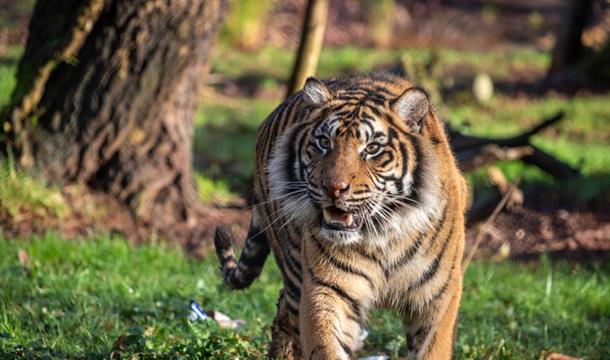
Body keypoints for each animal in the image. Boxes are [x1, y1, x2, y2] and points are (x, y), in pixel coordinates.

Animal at [213, 74, 466, 360]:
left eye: (372, 148)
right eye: (324, 143)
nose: (333, 188)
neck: (384, 236)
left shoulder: (438, 297)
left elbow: (433, 348)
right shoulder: (326, 289)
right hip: (294, 268)